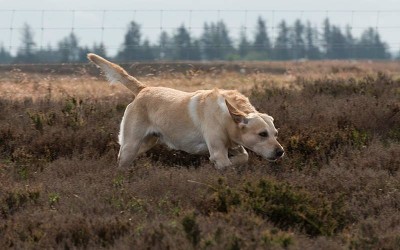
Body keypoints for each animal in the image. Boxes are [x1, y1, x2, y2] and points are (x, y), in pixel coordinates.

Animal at [87, 53, 284, 169]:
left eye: (275, 134)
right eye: (262, 134)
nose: (280, 152)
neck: (226, 116)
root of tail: (144, 89)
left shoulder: (234, 146)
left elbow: (243, 157)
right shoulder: (218, 152)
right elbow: (225, 165)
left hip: (145, 143)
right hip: (131, 144)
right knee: (122, 160)